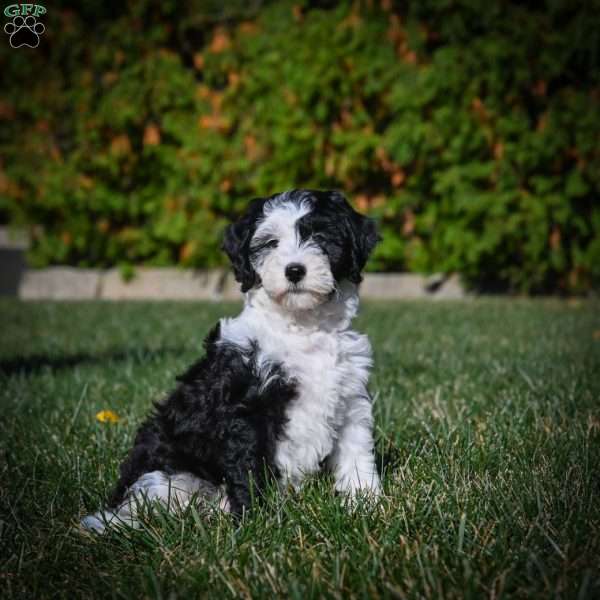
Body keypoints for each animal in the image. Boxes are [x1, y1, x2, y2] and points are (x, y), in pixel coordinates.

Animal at [81, 190, 380, 532]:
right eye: (271, 243)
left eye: (320, 236)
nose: (294, 270)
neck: (303, 328)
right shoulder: (244, 411)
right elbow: (248, 467)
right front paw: (255, 522)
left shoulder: (350, 398)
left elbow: (357, 455)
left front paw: (366, 505)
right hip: (168, 472)